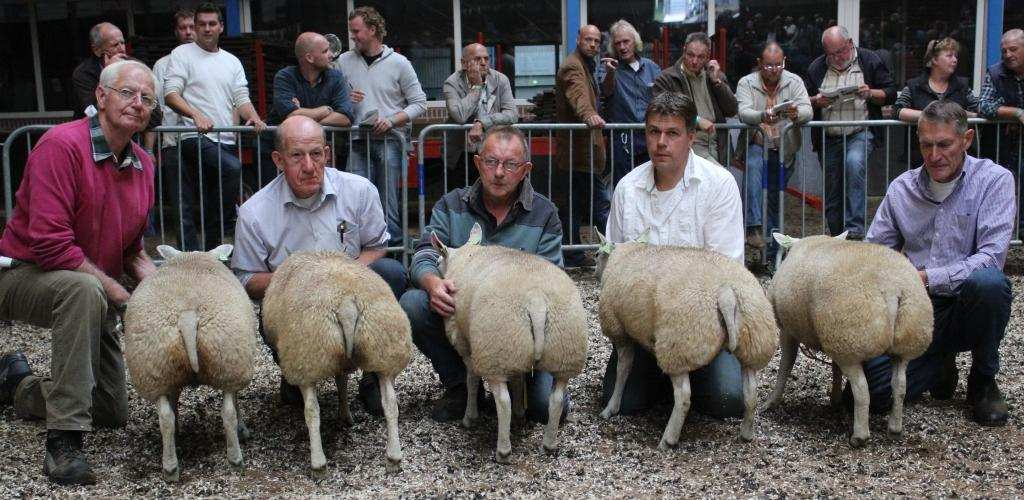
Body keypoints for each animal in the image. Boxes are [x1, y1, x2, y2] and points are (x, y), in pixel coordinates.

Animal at [122, 243, 256, 481]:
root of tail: (188, 314)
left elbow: (173, 403)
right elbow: (237, 404)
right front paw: (243, 430)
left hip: (155, 368)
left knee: (165, 417)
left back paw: (170, 467)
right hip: (230, 361)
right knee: (228, 413)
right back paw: (236, 459)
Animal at [260, 250, 411, 477]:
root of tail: (346, 302)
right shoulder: (343, 361)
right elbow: (342, 382)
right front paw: (345, 415)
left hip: (306, 357)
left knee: (312, 412)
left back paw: (318, 465)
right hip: (384, 348)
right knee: (391, 404)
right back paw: (393, 458)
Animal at [432, 224, 589, 463]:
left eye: (439, 259)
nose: (435, 268)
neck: (465, 257)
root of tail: (536, 299)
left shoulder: (466, 344)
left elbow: (472, 380)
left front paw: (470, 417)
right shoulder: (515, 354)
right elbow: (517, 380)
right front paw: (519, 415)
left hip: (496, 349)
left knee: (502, 401)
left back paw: (503, 450)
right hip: (559, 350)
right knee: (556, 399)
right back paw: (548, 444)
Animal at [598, 236, 778, 446]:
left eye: (597, 254)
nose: (594, 269)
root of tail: (726, 293)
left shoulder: (619, 330)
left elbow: (623, 369)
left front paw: (611, 407)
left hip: (678, 344)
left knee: (683, 396)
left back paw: (668, 439)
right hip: (754, 342)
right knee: (751, 393)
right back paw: (746, 433)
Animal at [765, 232, 933, 446]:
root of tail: (892, 288)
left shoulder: (788, 330)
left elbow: (786, 365)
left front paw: (771, 401)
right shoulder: (831, 336)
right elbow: (835, 369)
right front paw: (835, 400)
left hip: (850, 340)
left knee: (862, 391)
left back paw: (859, 436)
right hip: (898, 340)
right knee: (900, 385)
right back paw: (895, 428)